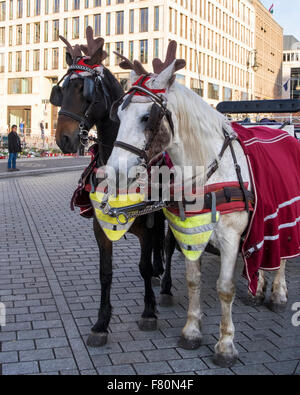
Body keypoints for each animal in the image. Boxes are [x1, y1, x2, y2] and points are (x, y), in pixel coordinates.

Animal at [53, 29, 166, 348]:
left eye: (85, 89)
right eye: (61, 89)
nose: (63, 139)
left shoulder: (147, 222)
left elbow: (143, 265)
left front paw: (149, 311)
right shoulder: (100, 226)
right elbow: (105, 273)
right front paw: (101, 322)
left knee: (164, 242)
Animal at [106, 56, 288, 368]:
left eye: (147, 117)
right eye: (118, 114)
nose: (113, 172)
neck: (208, 168)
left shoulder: (230, 239)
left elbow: (224, 288)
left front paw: (225, 345)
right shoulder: (189, 232)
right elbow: (194, 281)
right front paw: (191, 331)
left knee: (284, 255)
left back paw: (278, 293)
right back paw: (260, 288)